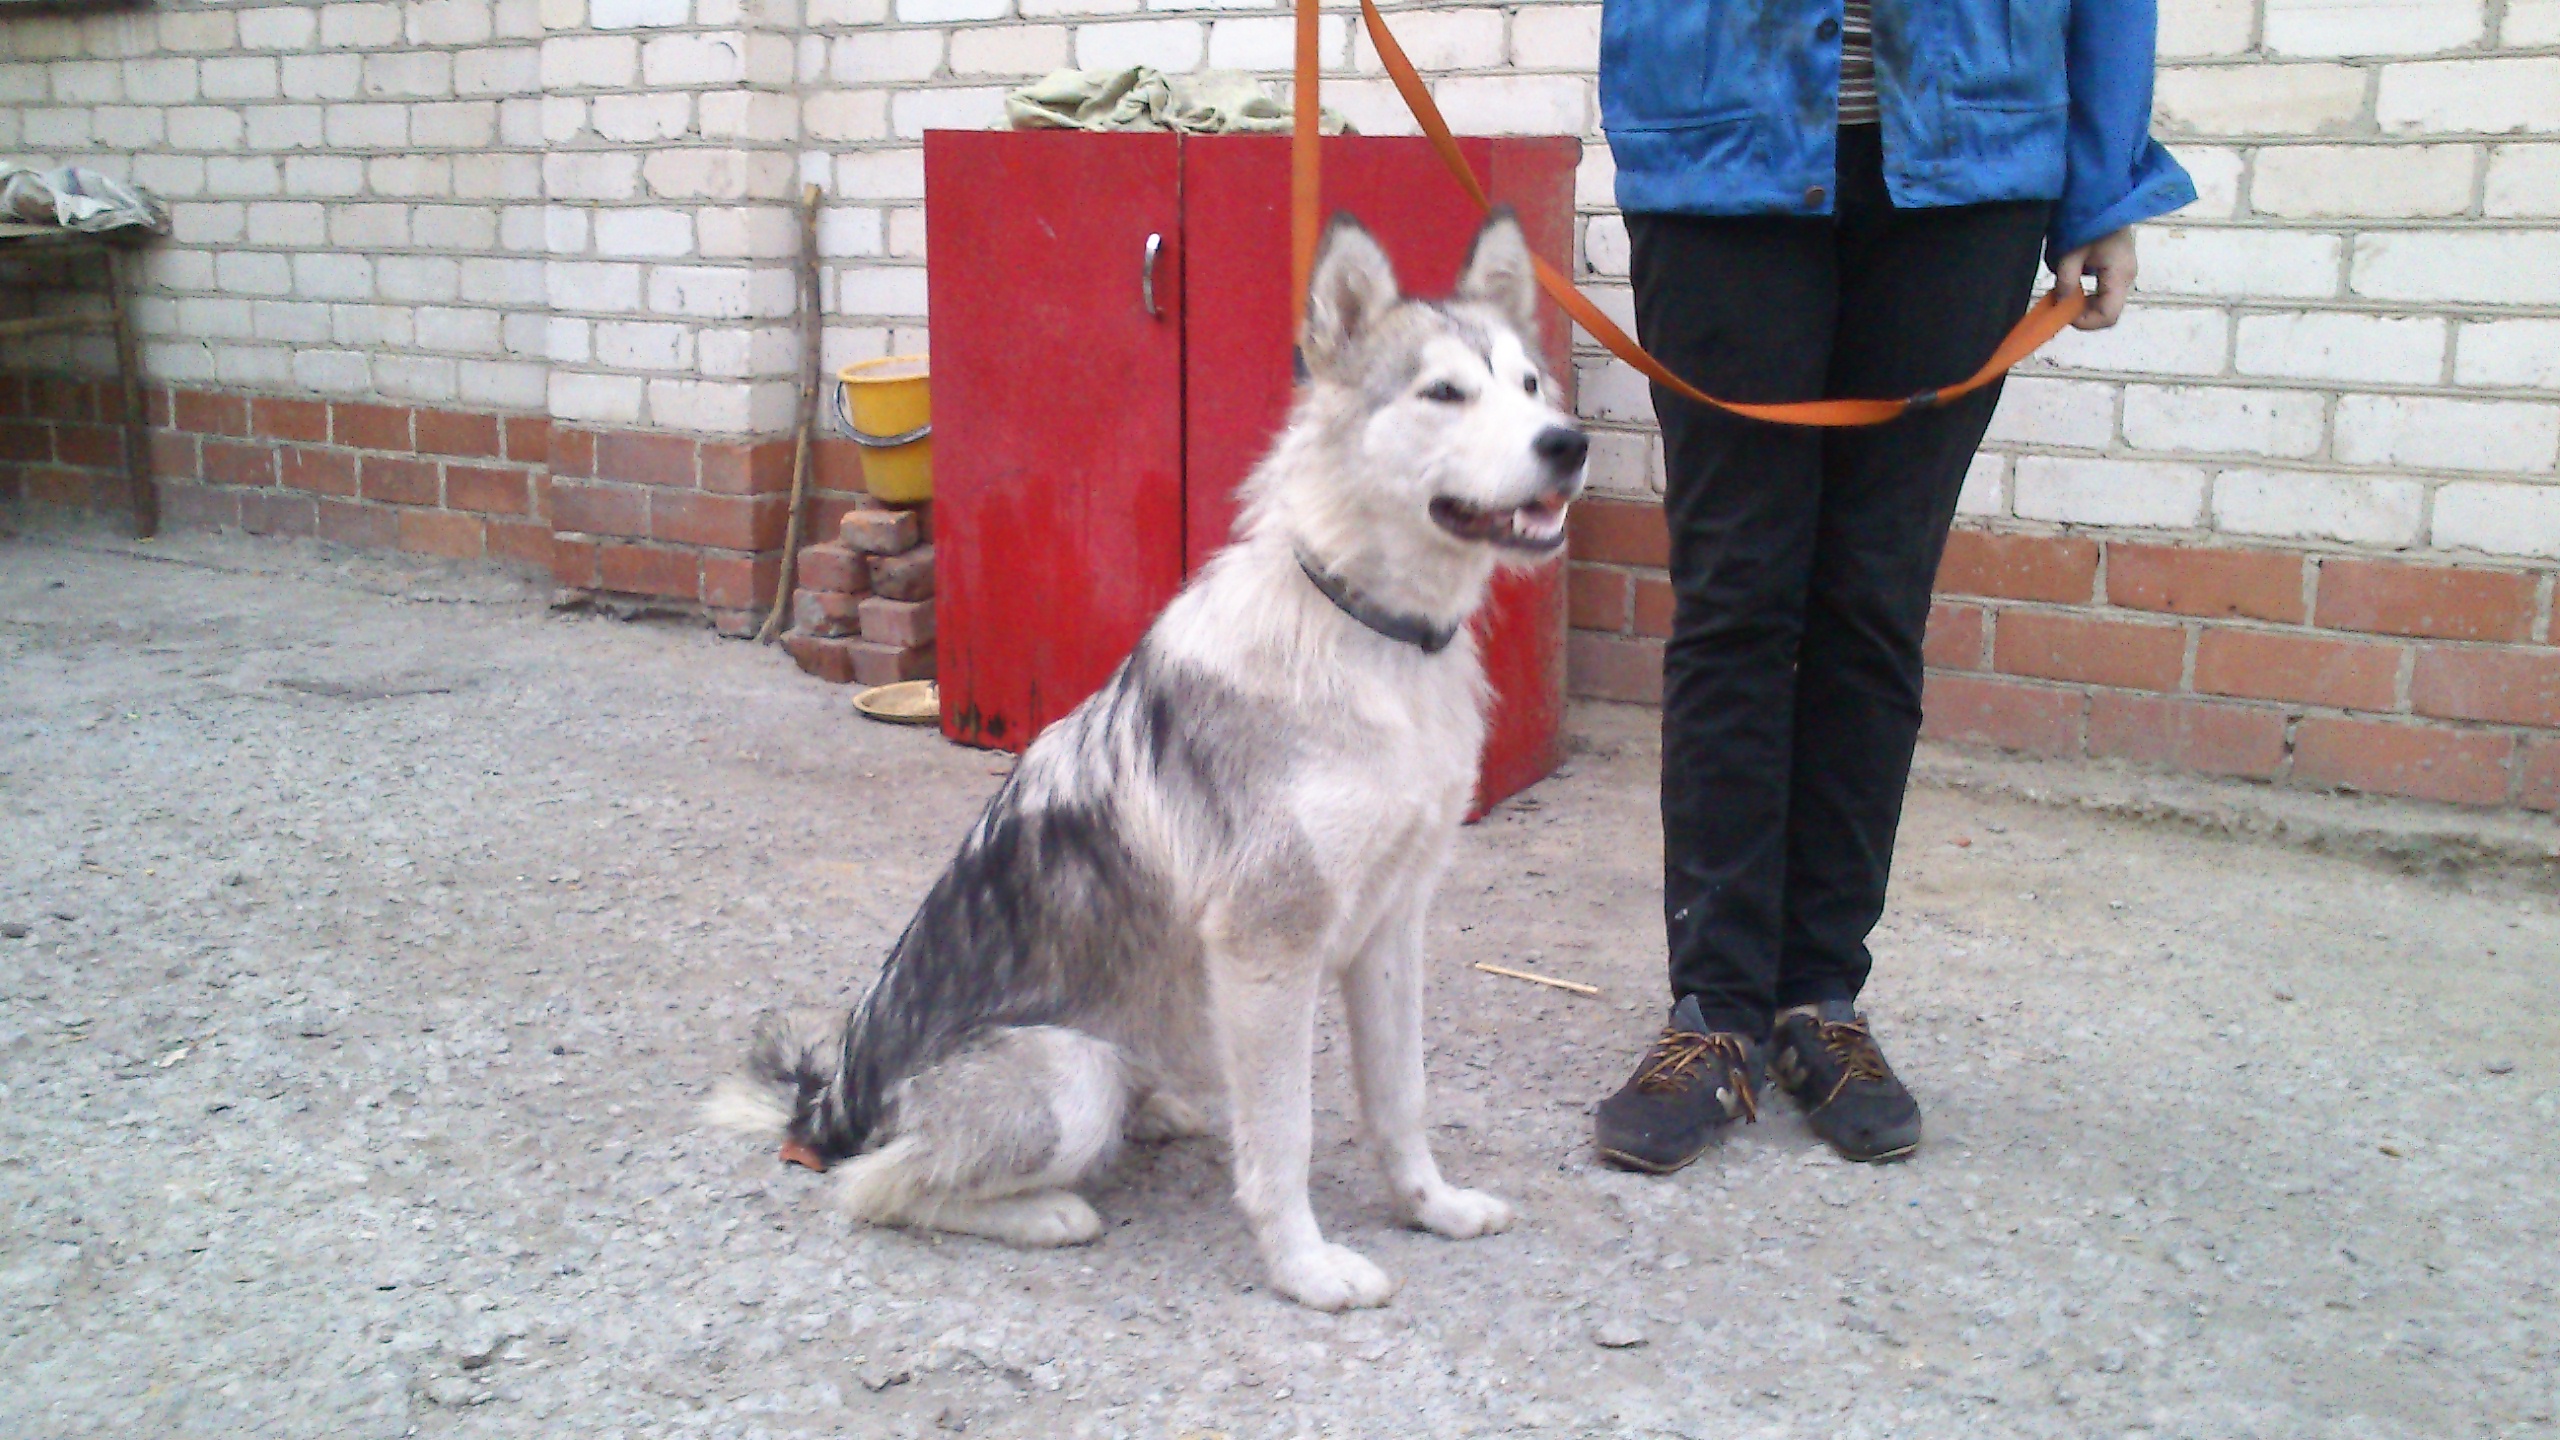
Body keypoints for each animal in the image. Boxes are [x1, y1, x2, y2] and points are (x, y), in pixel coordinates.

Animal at [707, 209, 1587, 1311]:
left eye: (1530, 388)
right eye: (1444, 394)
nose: (1570, 444)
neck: (1368, 629)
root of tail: (833, 1102)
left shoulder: (1391, 928)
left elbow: (1401, 1102)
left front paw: (1432, 1209)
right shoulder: (1269, 948)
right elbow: (1286, 1140)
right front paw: (1304, 1269)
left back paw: (1156, 1109)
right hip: (1068, 1078)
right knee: (873, 1185)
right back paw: (1047, 1209)